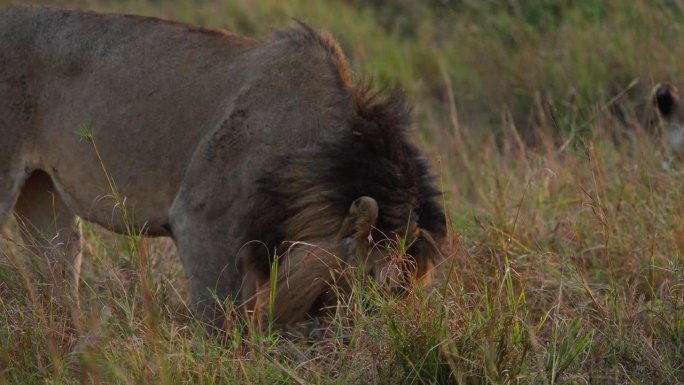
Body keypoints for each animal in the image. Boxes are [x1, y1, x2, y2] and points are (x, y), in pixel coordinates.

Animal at [0, 6, 446, 328]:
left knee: (58, 270)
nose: (370, 339)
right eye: (367, 285)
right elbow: (220, 321)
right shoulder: (200, 221)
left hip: (43, 195)